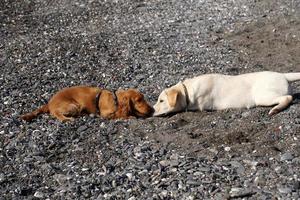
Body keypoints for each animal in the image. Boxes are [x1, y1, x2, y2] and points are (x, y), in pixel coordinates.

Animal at [20, 85, 155, 121]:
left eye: (143, 98)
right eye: (138, 100)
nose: (153, 110)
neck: (115, 99)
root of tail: (49, 103)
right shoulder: (106, 114)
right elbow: (120, 115)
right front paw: (130, 116)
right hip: (73, 106)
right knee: (56, 114)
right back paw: (66, 119)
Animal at [155, 71, 300, 116]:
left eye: (161, 100)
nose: (151, 110)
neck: (188, 90)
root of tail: (283, 75)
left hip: (263, 96)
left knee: (287, 98)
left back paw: (276, 109)